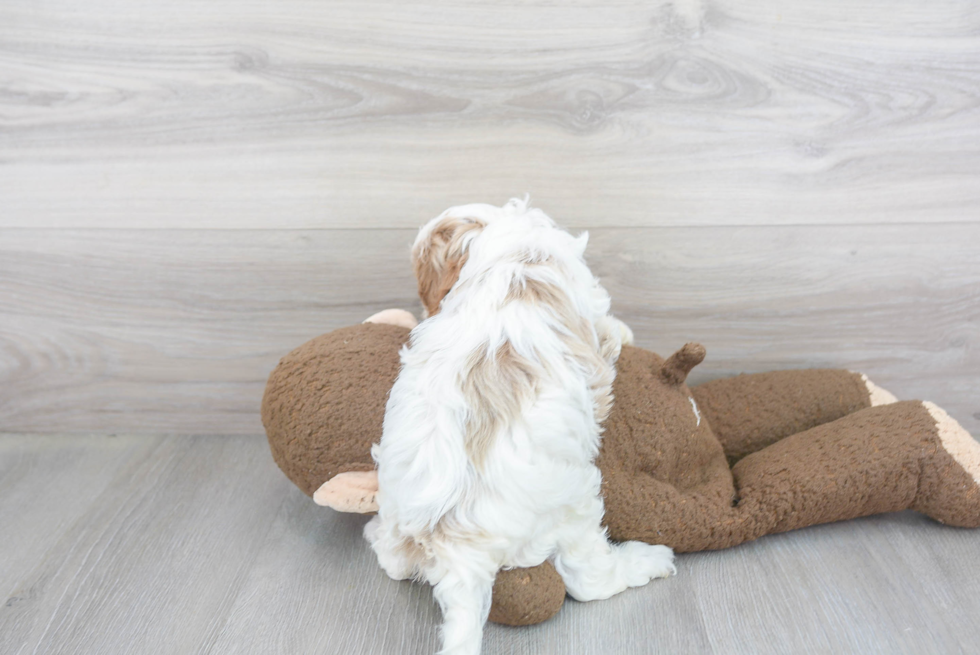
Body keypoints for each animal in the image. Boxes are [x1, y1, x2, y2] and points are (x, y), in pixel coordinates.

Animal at [364, 199, 676, 655]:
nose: (425, 308)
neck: (511, 248)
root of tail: (457, 548)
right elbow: (608, 330)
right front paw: (624, 333)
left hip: (398, 516)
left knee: (393, 562)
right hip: (574, 507)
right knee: (588, 579)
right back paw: (648, 561)